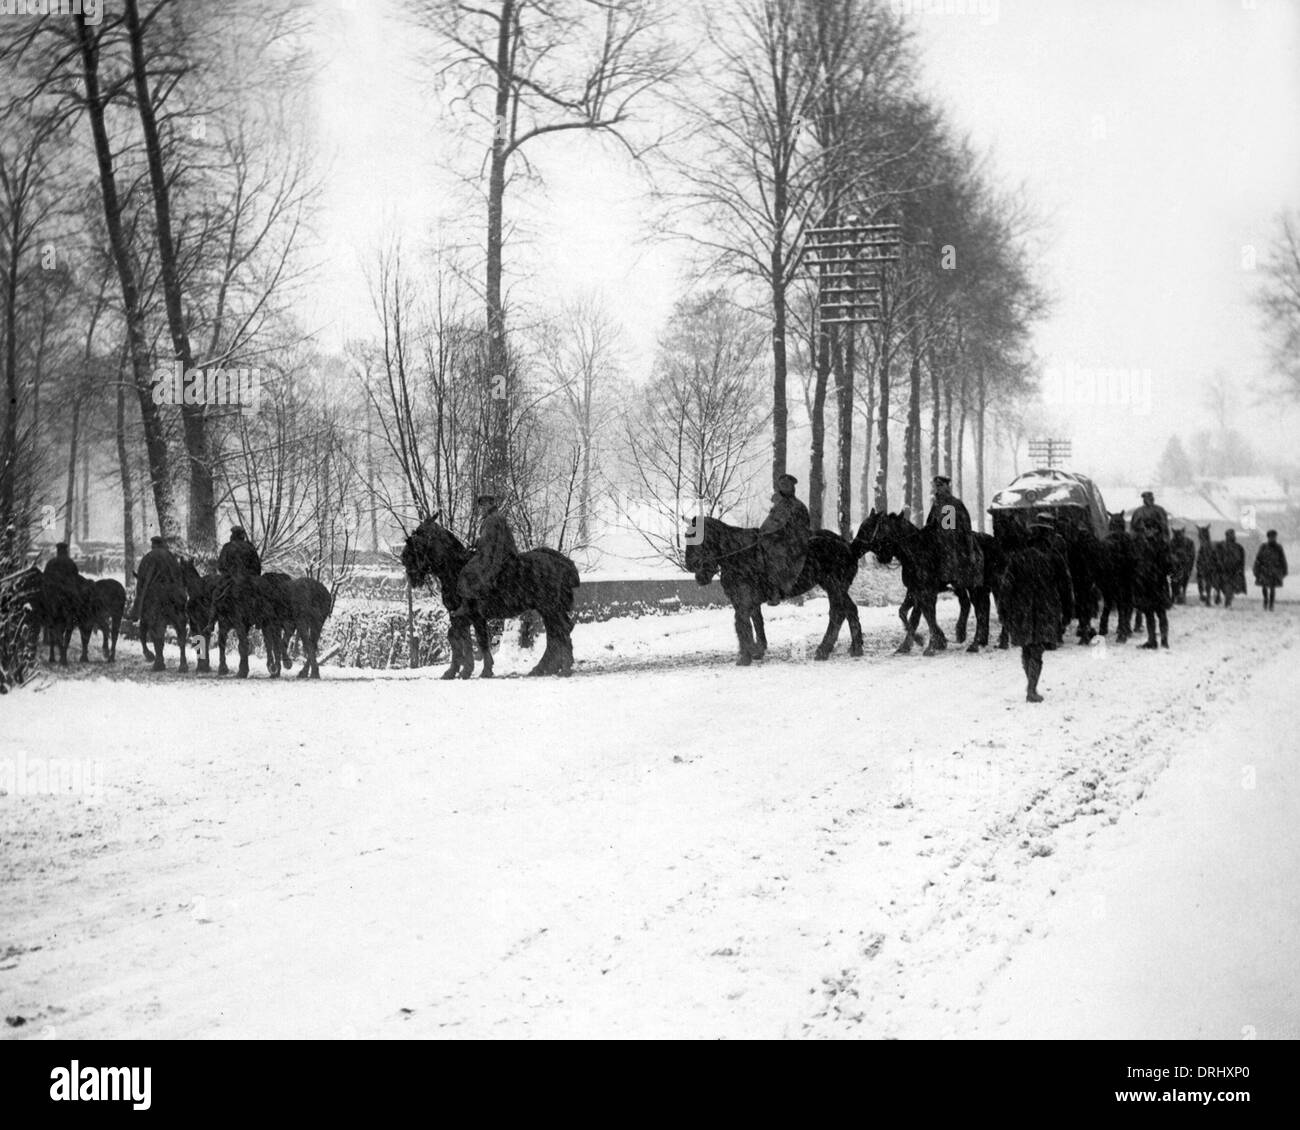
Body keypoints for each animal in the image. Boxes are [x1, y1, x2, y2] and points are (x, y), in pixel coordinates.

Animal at [397, 514, 577, 681]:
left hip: (549, 608)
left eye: (418, 537)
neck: (456, 570)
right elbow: (461, 639)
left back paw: (564, 667)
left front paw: (475, 670)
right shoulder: (461, 617)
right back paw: (549, 667)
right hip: (549, 609)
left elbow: (476, 640)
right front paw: (463, 670)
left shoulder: (471, 616)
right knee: (556, 634)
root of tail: (560, 561)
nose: (403, 558)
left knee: (560, 632)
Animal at [681, 512, 863, 660]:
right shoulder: (750, 602)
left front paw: (746, 655)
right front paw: (758, 650)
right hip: (836, 588)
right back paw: (856, 647)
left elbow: (743, 625)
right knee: (850, 610)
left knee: (837, 614)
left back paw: (824, 650)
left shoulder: (743, 601)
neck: (739, 554)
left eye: (696, 537)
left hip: (834, 586)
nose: (689, 564)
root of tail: (848, 546)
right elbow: (756, 622)